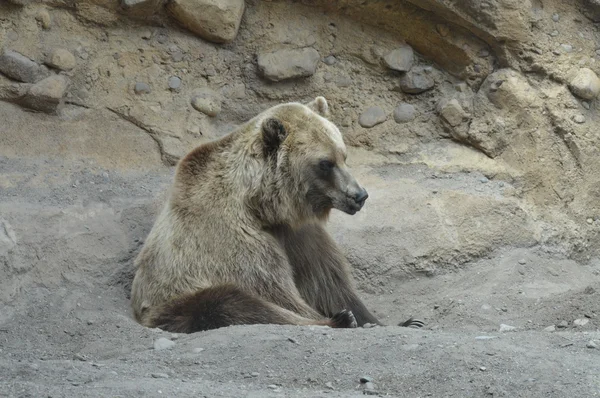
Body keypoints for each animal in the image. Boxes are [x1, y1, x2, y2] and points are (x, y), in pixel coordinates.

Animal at [131, 96, 422, 332]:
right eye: (325, 163)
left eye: (344, 155)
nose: (359, 195)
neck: (263, 206)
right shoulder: (233, 238)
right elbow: (275, 292)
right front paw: (339, 317)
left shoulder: (299, 233)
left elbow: (328, 281)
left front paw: (394, 320)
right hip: (173, 302)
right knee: (227, 303)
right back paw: (335, 321)